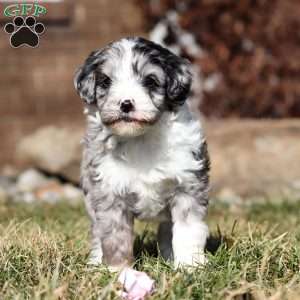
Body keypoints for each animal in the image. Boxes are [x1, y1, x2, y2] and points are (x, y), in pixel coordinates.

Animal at [74, 36, 210, 270]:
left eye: (150, 81)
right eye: (106, 82)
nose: (126, 104)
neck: (140, 138)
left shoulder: (187, 186)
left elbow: (187, 231)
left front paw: (188, 266)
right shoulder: (108, 192)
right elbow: (115, 235)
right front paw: (117, 270)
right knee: (97, 233)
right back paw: (95, 262)